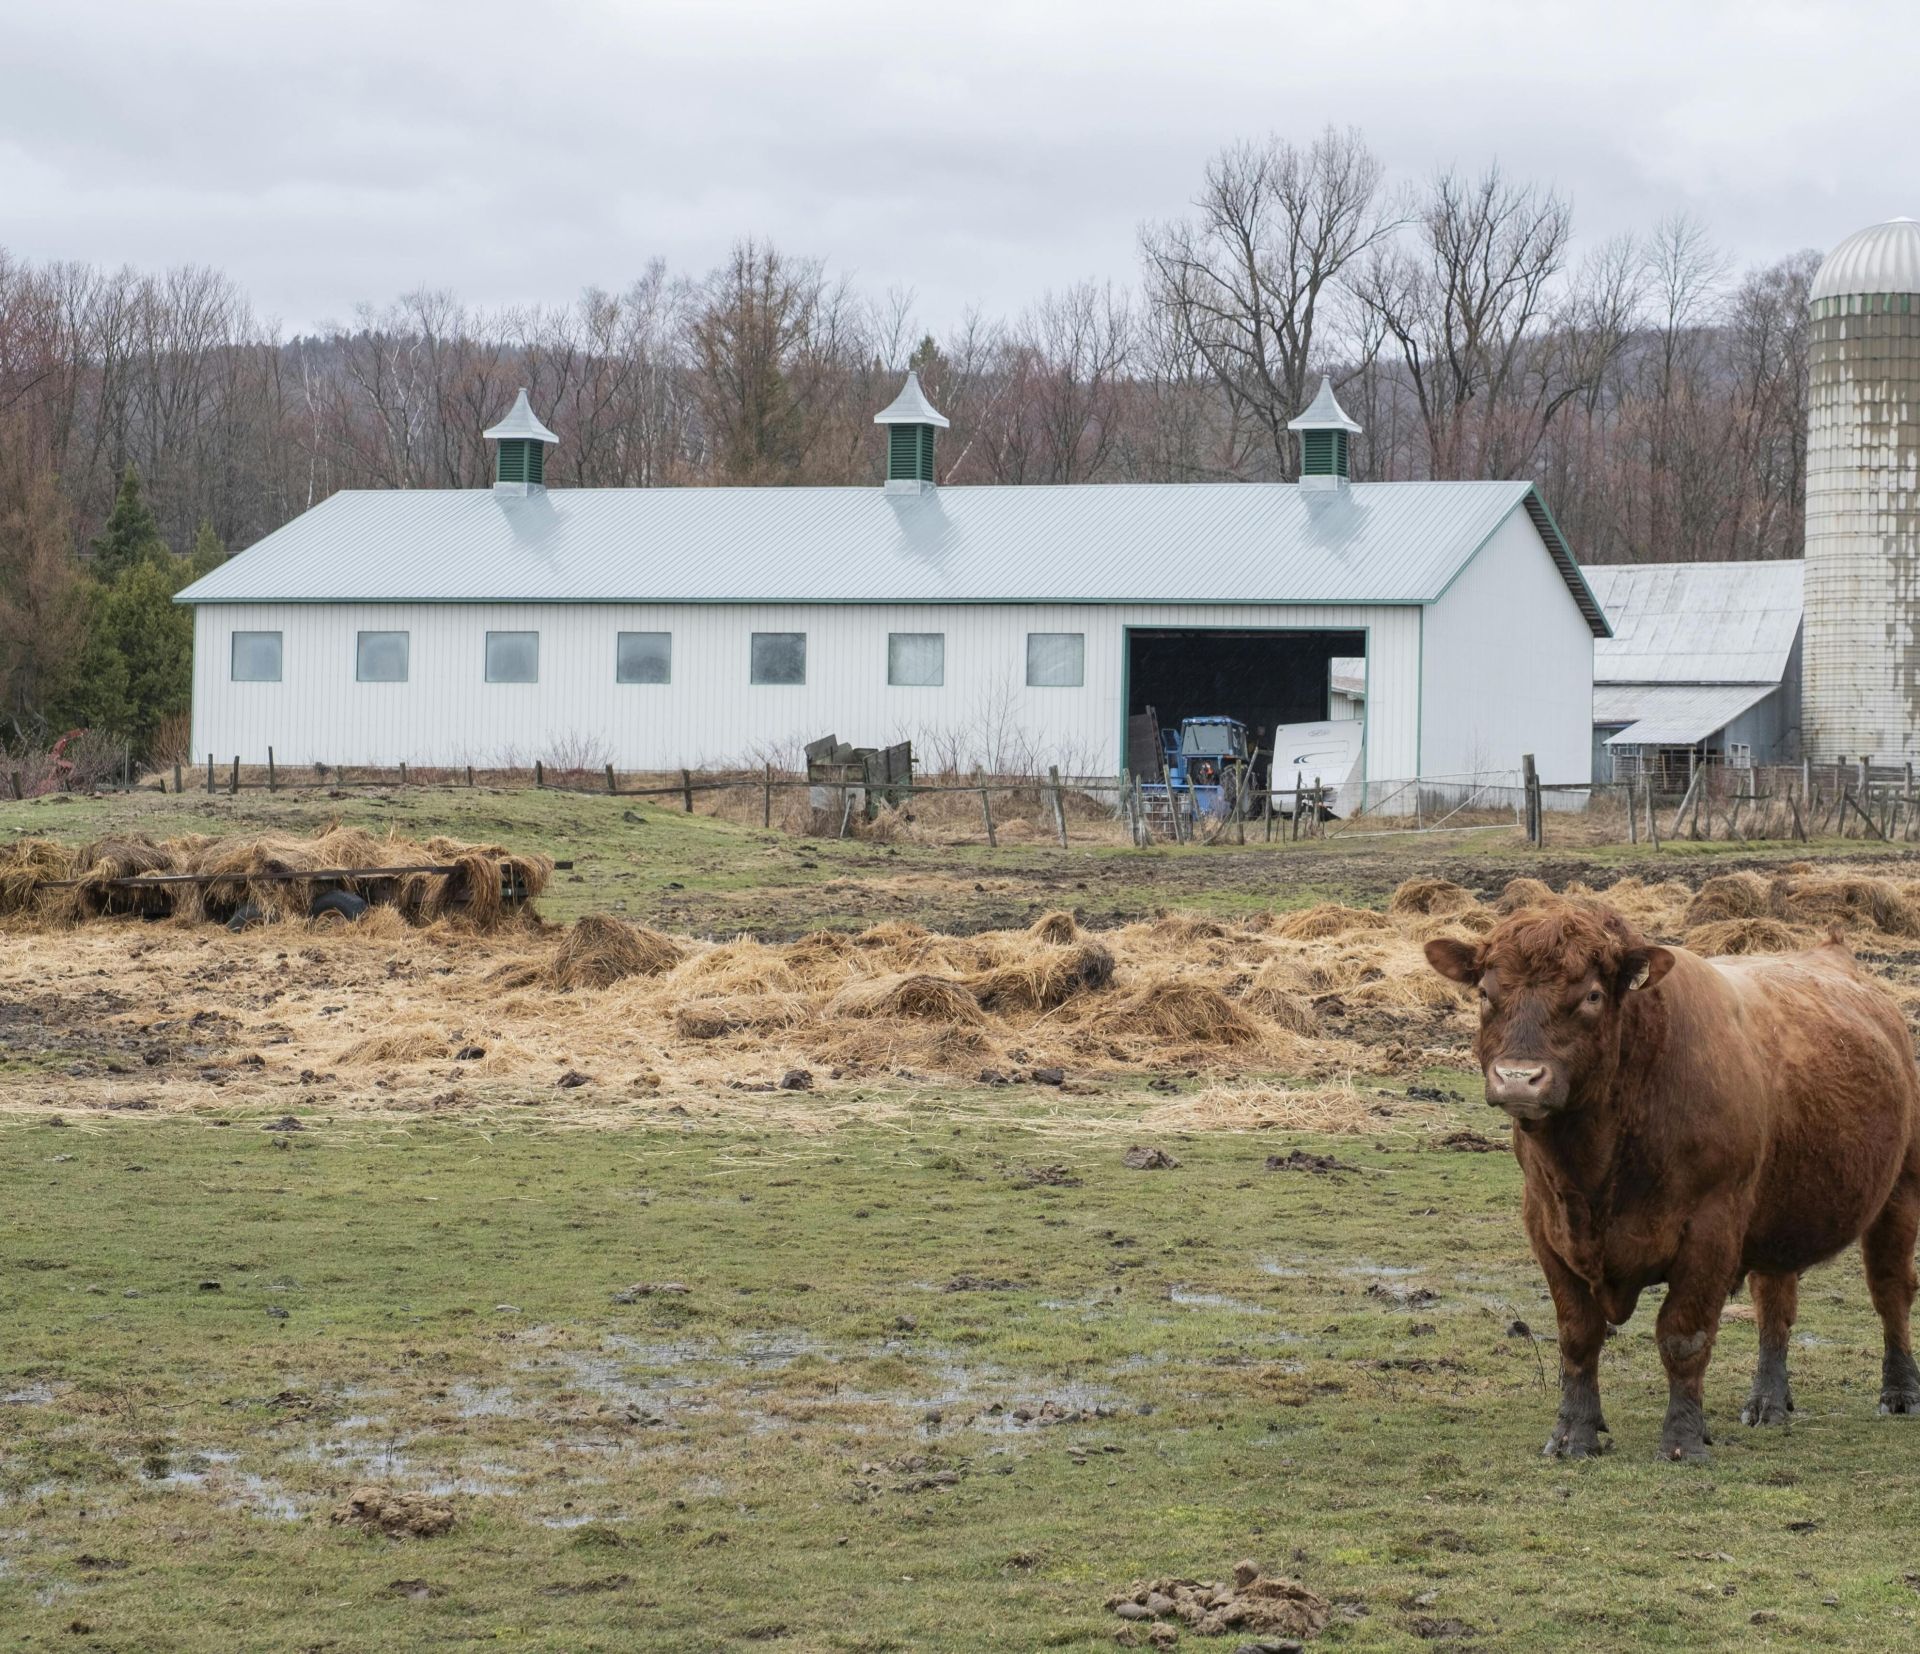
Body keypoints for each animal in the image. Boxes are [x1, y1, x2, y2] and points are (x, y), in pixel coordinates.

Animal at [1425, 898, 1920, 1461]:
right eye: (1486, 993)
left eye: (1592, 995)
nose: (1518, 1079)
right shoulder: (1546, 1226)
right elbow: (1577, 1335)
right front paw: (1573, 1434)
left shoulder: (1711, 1228)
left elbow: (1684, 1335)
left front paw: (1683, 1440)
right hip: (1778, 1212)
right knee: (1775, 1303)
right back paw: (1767, 1402)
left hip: (1899, 1191)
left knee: (1890, 1290)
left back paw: (1900, 1392)